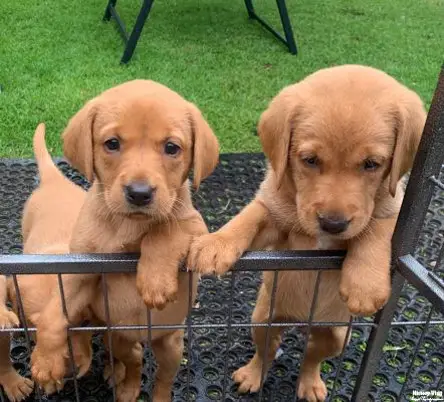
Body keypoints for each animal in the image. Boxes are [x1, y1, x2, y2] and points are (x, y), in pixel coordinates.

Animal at [28, 80, 219, 400]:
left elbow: (164, 231)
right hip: (118, 337)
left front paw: (154, 281)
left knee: (163, 378)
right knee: (134, 361)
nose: (139, 193)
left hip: (170, 345)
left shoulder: (196, 228)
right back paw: (127, 388)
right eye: (112, 144)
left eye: (172, 148)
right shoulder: (81, 270)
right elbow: (55, 312)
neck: (126, 226)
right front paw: (45, 360)